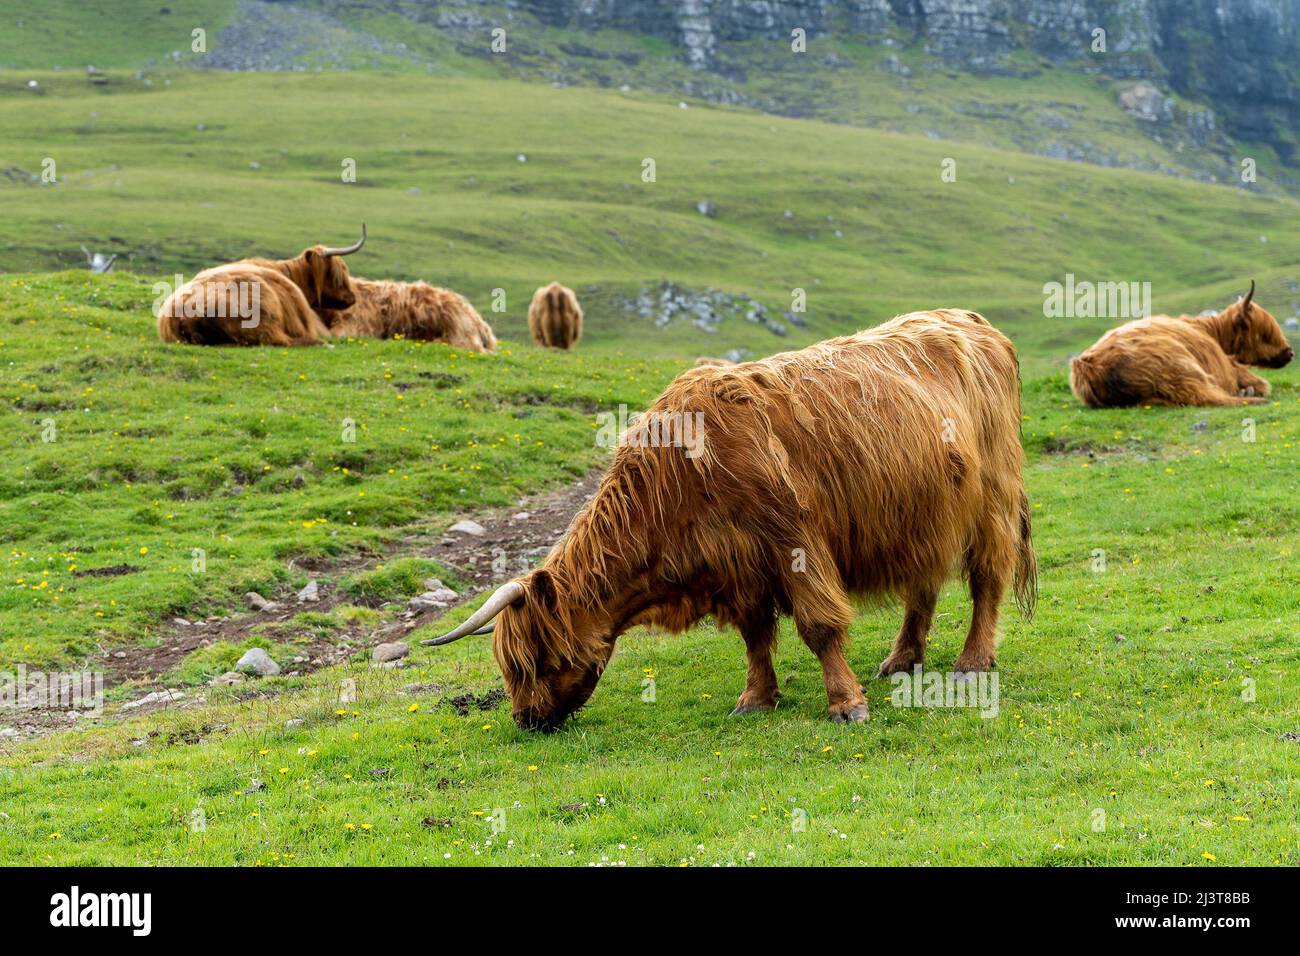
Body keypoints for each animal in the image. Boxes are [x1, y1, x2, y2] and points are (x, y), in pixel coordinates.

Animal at [424, 309, 1037, 731]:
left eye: (534, 658)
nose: (526, 719)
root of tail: (974, 322)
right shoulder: (738, 564)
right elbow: (755, 634)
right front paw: (756, 699)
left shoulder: (792, 540)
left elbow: (818, 627)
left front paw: (846, 704)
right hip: (922, 513)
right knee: (922, 582)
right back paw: (902, 658)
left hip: (992, 500)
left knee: (988, 576)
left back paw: (971, 661)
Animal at [1069, 281, 1294, 407]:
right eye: (1265, 333)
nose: (1290, 352)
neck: (1211, 333)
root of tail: (1088, 366)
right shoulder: (1227, 370)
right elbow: (1262, 384)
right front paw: (1251, 389)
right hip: (1183, 368)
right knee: (1206, 396)